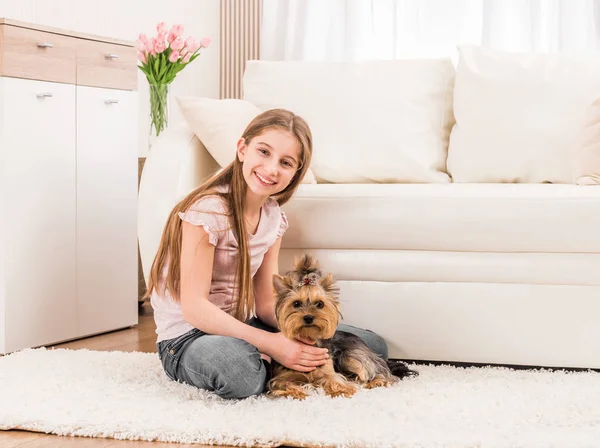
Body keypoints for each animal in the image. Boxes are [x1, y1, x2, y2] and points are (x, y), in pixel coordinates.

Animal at [268, 256, 418, 400]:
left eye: (320, 304)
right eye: (296, 304)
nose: (308, 317)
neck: (310, 339)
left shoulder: (328, 371)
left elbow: (334, 380)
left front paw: (341, 391)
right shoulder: (280, 376)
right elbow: (282, 383)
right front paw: (297, 393)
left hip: (352, 356)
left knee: (378, 373)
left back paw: (376, 381)